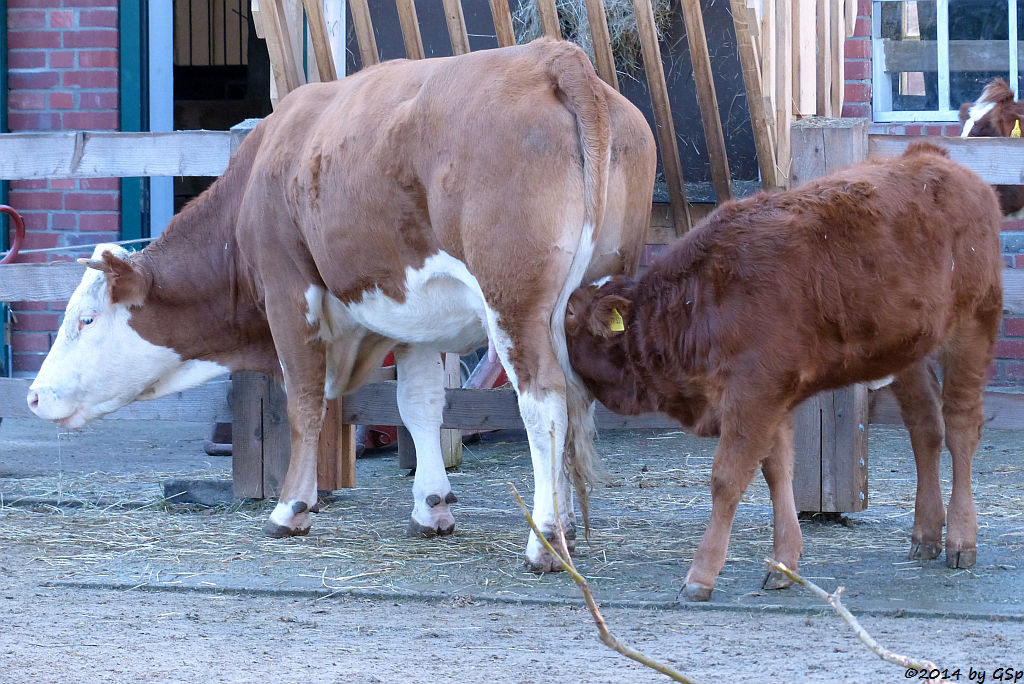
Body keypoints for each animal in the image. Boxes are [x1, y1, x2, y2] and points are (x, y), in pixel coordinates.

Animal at [32, 38, 659, 573]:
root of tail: (552, 56)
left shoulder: (288, 294)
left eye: (86, 319)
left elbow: (305, 402)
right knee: (576, 401)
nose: (35, 396)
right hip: (586, 303)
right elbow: (419, 406)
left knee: (544, 404)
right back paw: (569, 526)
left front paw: (290, 509)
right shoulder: (414, 319)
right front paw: (431, 507)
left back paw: (545, 540)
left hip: (515, 304)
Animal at [565, 143, 1003, 597]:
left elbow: (727, 478)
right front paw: (783, 563)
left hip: (973, 324)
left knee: (960, 427)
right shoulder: (770, 400)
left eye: (568, 317)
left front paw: (700, 575)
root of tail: (933, 157)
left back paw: (960, 539)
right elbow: (777, 472)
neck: (695, 303)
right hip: (908, 350)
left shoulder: (753, 397)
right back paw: (925, 535)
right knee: (925, 428)